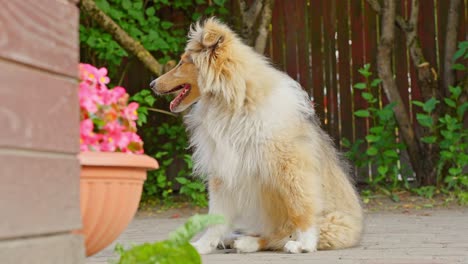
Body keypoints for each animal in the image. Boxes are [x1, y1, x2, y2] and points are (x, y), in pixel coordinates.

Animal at [152, 18, 364, 254]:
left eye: (182, 63)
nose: (152, 84)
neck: (234, 103)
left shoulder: (292, 168)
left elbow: (301, 205)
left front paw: (306, 244)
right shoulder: (222, 170)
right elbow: (215, 218)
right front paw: (202, 246)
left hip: (331, 222)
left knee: (279, 235)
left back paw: (254, 242)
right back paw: (234, 238)